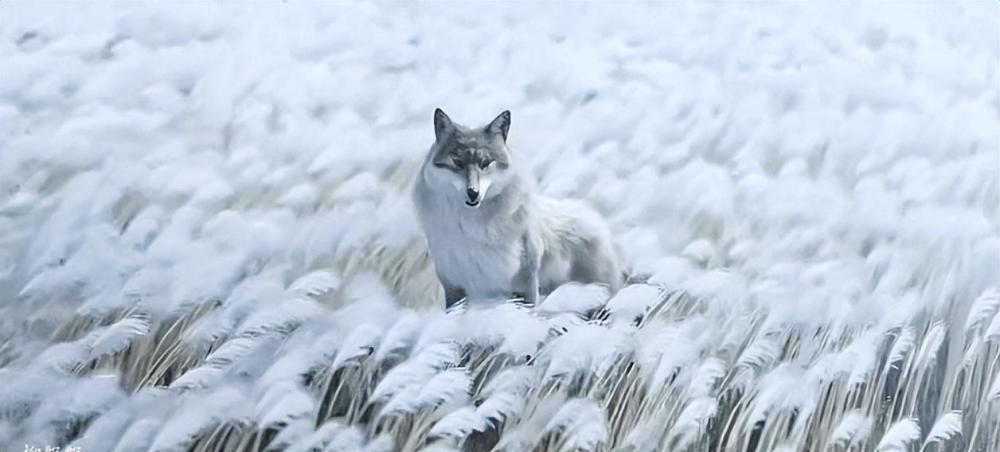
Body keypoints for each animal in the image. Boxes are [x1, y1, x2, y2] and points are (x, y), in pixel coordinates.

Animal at [410, 109, 620, 308]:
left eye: (486, 163)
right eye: (457, 162)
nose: (473, 193)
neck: (473, 231)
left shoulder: (524, 284)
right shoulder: (454, 287)